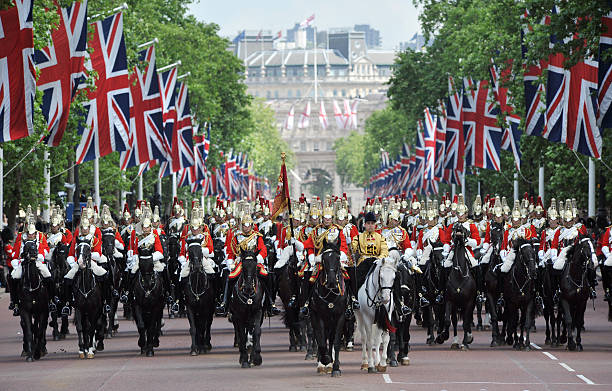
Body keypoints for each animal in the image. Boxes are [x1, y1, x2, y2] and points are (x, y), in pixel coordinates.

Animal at [310, 247, 344, 378]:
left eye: (338, 258)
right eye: (323, 259)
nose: (331, 282)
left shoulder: (340, 317)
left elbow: (336, 342)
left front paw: (336, 367)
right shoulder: (318, 317)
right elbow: (321, 341)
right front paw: (325, 360)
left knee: (331, 338)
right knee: (322, 339)